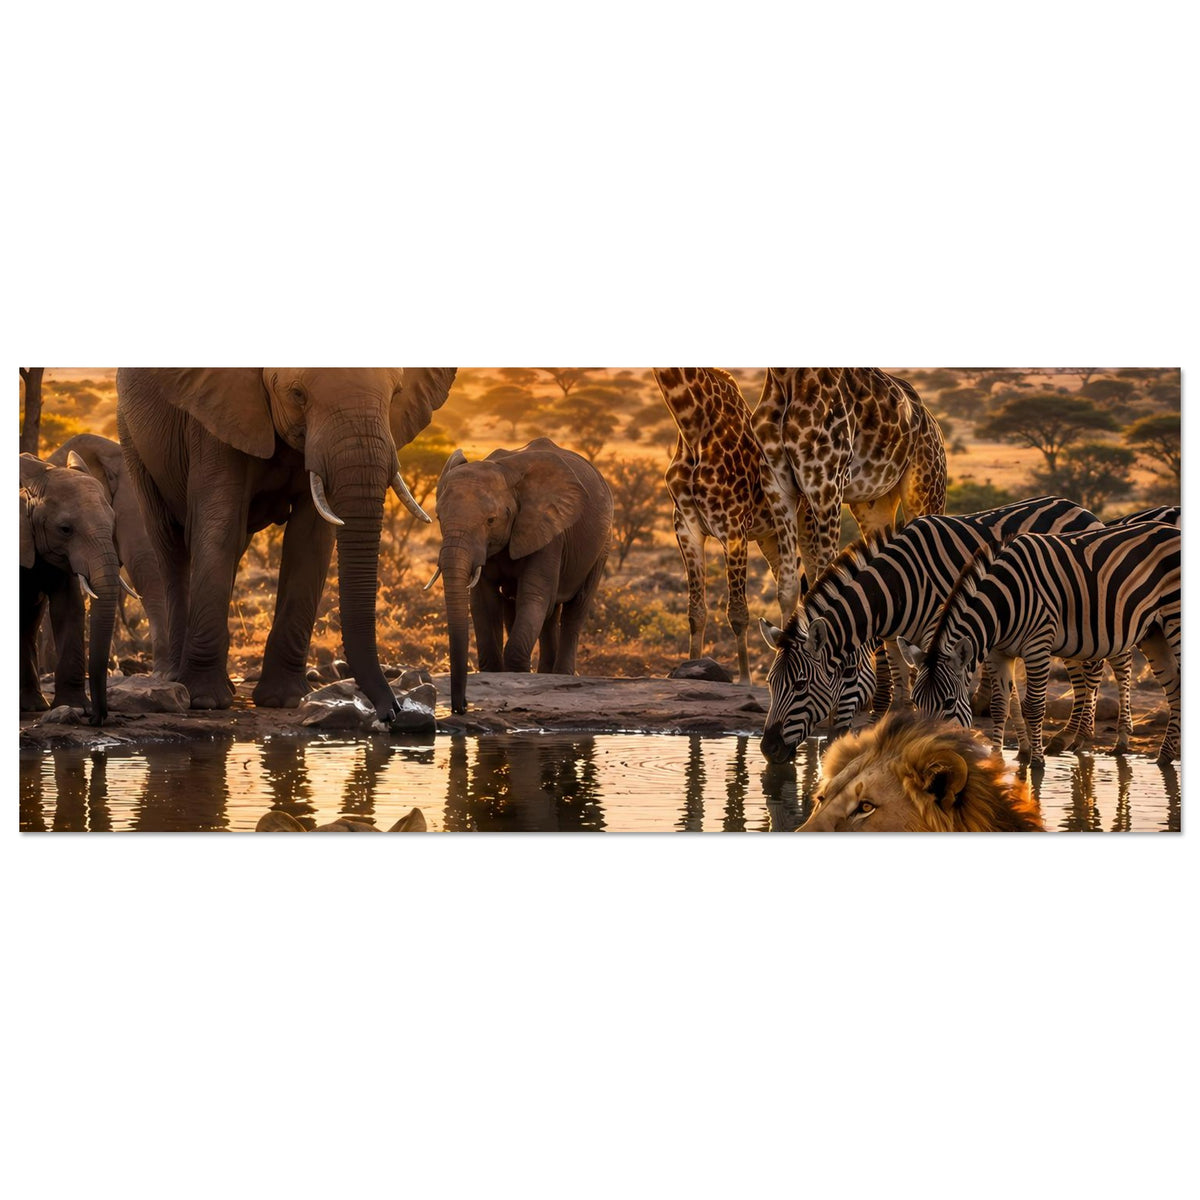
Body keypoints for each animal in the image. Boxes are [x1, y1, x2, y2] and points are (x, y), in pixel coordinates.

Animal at [20, 453, 128, 723]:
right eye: (65, 529)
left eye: (113, 523)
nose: (96, 719)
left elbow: (69, 609)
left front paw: (75, 707)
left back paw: (33, 706)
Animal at [117, 368, 455, 718]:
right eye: (297, 395)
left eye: (396, 394)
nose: (393, 713)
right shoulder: (213, 416)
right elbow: (219, 525)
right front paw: (206, 700)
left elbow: (310, 540)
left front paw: (285, 700)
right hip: (133, 440)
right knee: (169, 545)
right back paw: (175, 678)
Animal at [432, 437, 613, 714]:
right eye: (439, 517)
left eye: (491, 520)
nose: (461, 707)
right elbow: (484, 602)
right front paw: (497, 674)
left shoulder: (549, 530)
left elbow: (533, 596)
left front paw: (517, 675)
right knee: (537, 614)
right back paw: (547, 676)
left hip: (601, 545)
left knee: (575, 610)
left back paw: (561, 676)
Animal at [758, 496, 1104, 763]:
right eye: (770, 683)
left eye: (801, 685)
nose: (768, 749)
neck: (897, 587)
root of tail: (1079, 507)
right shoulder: (896, 639)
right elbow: (901, 695)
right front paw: (1023, 748)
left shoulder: (939, 633)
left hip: (1078, 614)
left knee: (1092, 670)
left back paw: (1075, 738)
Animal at [906, 522, 1181, 765]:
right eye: (915, 702)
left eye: (949, 702)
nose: (923, 754)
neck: (1002, 603)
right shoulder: (998, 653)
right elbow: (999, 706)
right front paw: (997, 760)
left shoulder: (1037, 646)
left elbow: (1035, 707)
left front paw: (1037, 763)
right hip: (1153, 632)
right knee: (1174, 685)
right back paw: (1164, 757)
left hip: (1173, 619)